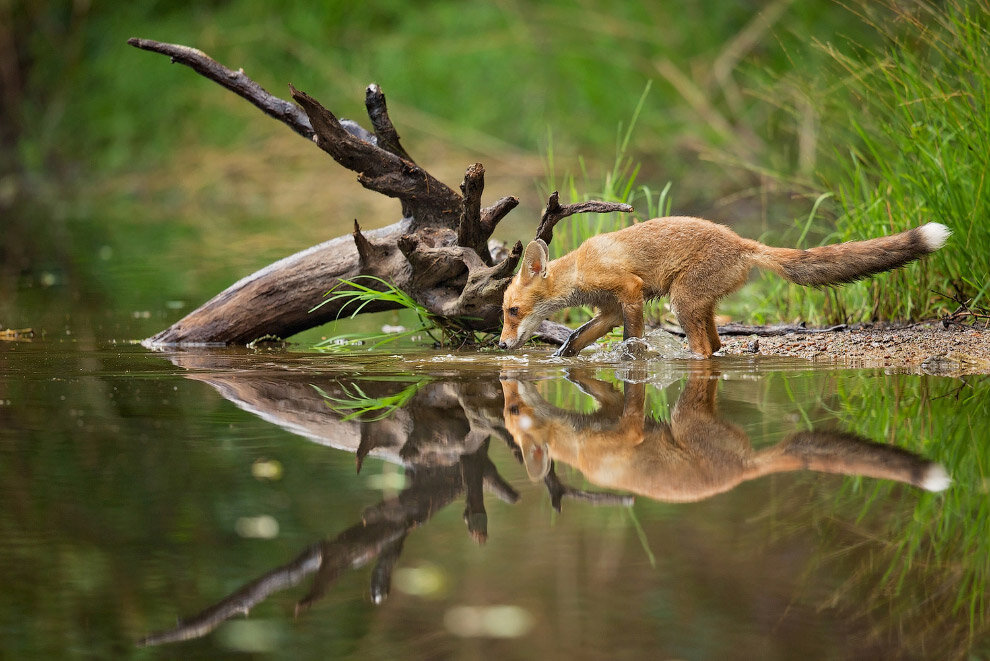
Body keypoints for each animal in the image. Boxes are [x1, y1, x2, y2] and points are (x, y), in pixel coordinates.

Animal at [500, 217, 948, 356]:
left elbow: (632, 339)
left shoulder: (628, 290)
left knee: (702, 348)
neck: (579, 269)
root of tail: (743, 243)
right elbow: (577, 337)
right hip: (702, 304)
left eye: (511, 311)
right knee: (715, 345)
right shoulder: (609, 309)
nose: (502, 346)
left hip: (682, 301)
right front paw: (560, 357)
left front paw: (634, 360)